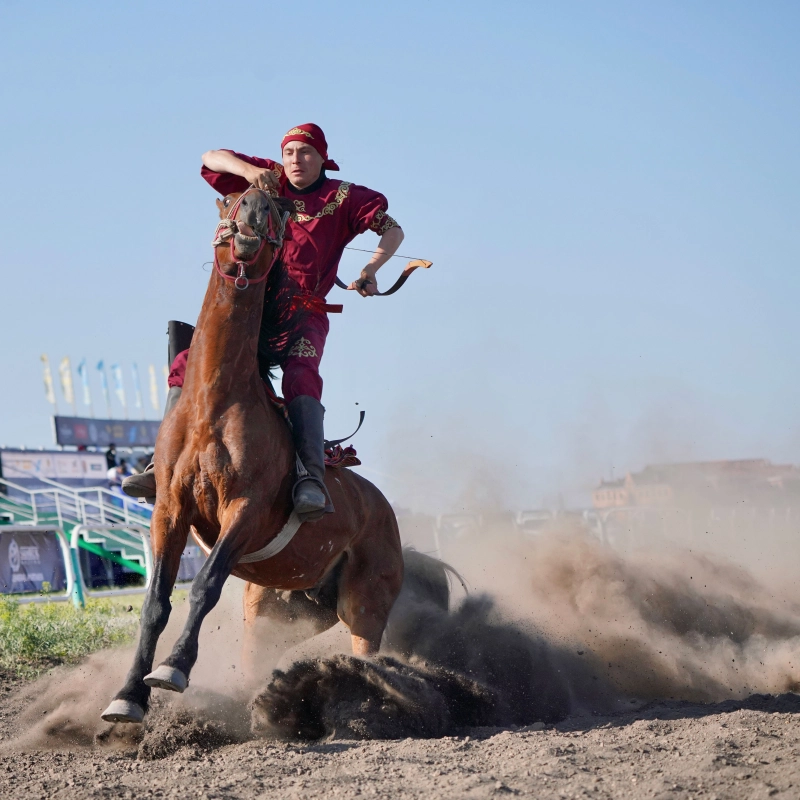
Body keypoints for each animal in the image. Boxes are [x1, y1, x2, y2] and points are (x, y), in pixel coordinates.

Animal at [104, 189, 406, 724]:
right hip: (277, 607)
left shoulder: (243, 510)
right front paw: (128, 694)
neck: (214, 405)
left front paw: (172, 669)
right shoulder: (169, 510)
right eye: (230, 199)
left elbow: (204, 584)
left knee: (365, 648)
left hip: (365, 601)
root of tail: (384, 510)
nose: (255, 209)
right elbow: (156, 601)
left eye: (279, 211)